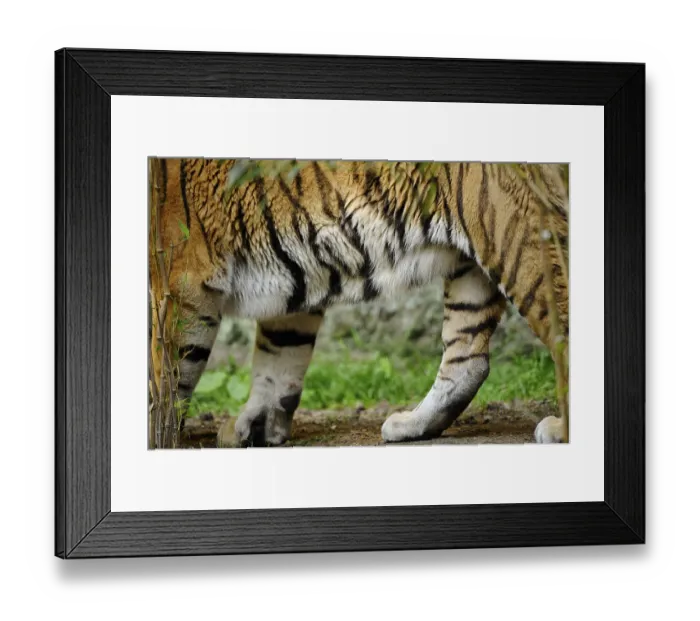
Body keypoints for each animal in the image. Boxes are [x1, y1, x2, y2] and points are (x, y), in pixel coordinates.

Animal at [148, 158, 569, 447]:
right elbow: (279, 357)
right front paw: (258, 427)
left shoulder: (178, 280)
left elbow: (166, 373)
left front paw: (158, 435)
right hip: (473, 264)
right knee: (468, 359)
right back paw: (412, 425)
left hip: (519, 235)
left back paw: (559, 428)